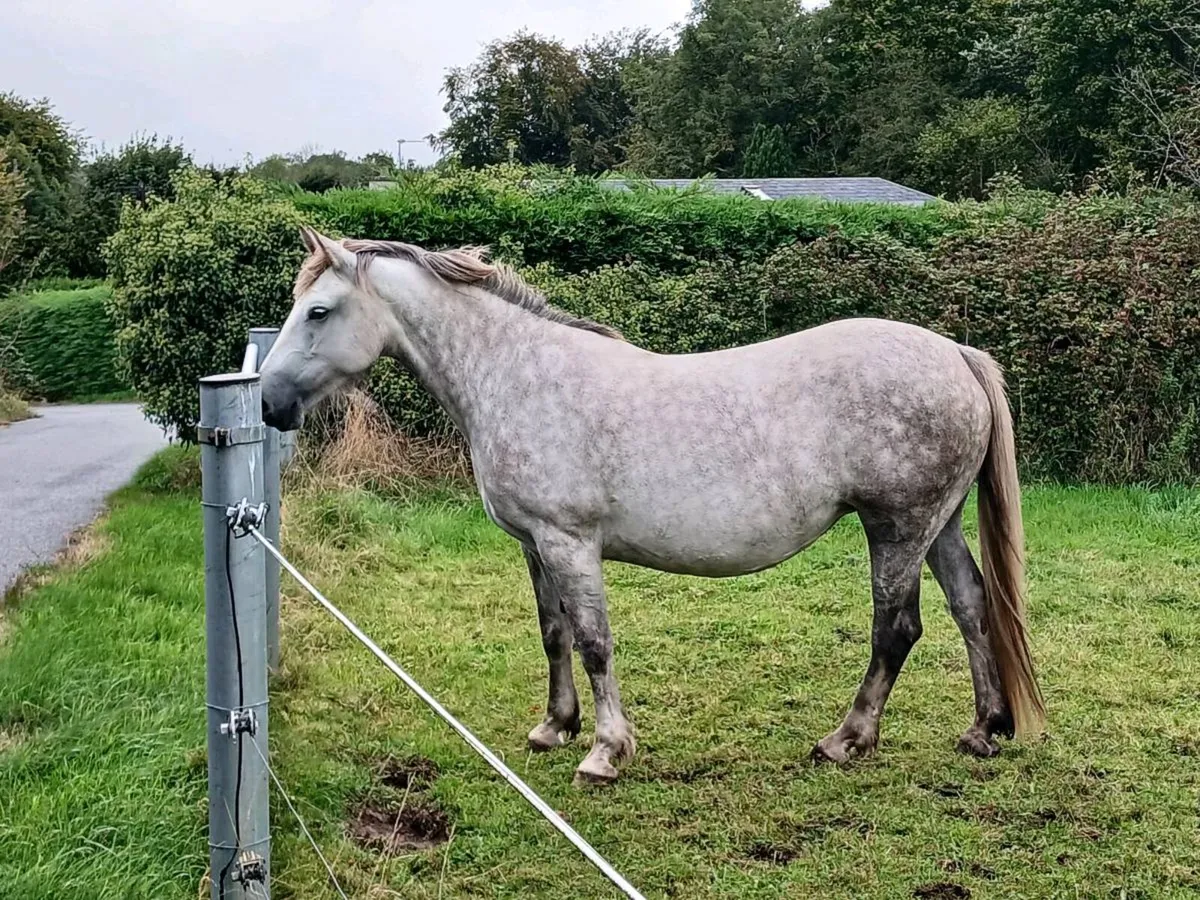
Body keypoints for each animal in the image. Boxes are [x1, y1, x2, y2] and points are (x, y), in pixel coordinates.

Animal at [260, 227, 1045, 786]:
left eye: (319, 311)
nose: (269, 404)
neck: (517, 374)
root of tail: (956, 354)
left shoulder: (569, 542)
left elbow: (594, 641)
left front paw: (605, 753)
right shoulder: (535, 544)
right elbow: (554, 635)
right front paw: (555, 728)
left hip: (896, 528)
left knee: (897, 629)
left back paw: (846, 741)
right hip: (935, 526)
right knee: (972, 606)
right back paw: (984, 729)